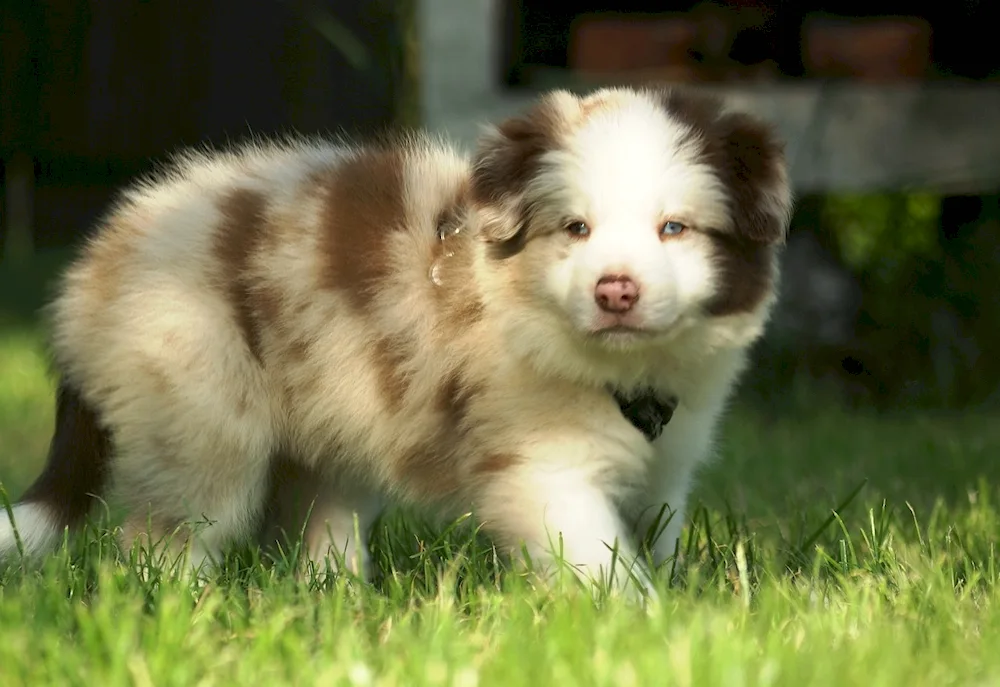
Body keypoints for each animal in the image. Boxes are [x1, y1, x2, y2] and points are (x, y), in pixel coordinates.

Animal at [0, 87, 788, 596]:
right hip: (202, 416)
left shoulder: (668, 466)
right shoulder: (541, 469)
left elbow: (655, 533)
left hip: (332, 418)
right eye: (576, 229)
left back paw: (337, 599)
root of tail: (95, 267)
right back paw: (177, 606)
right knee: (165, 535)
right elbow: (600, 558)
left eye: (674, 228)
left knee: (317, 521)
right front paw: (639, 619)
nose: (615, 290)